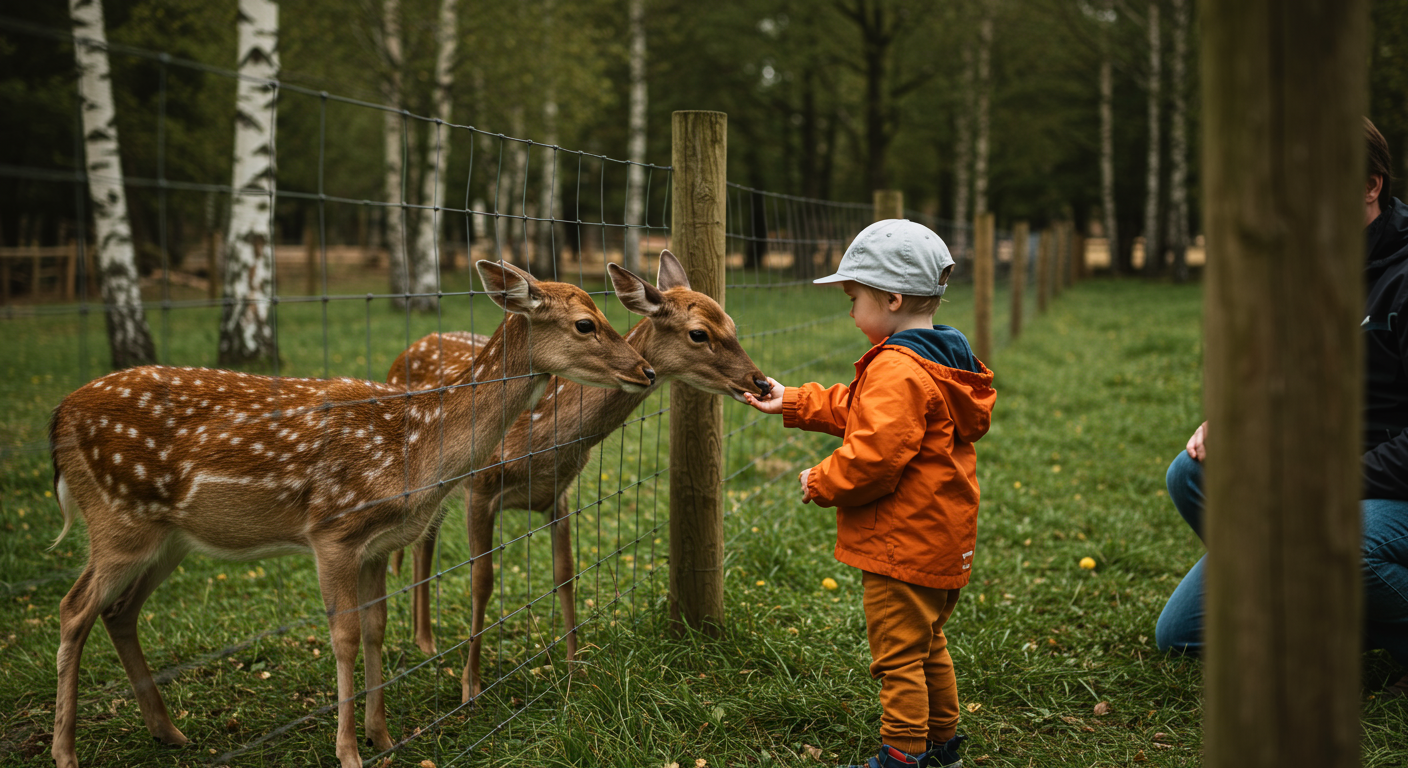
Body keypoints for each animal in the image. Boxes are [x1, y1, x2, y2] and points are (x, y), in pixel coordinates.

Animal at [46, 260, 655, 768]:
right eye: (585, 323)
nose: (646, 369)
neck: (414, 447)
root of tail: (58, 418)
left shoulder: (377, 545)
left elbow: (376, 629)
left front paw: (382, 736)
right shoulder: (332, 531)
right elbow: (342, 635)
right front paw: (348, 752)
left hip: (167, 538)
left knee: (118, 611)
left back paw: (169, 732)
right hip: (117, 520)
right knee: (73, 609)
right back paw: (66, 752)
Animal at [385, 250, 771, 703]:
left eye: (732, 325)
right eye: (699, 333)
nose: (761, 382)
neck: (545, 440)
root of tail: (412, 346)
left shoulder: (559, 495)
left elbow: (566, 574)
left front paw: (574, 669)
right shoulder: (480, 487)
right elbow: (482, 581)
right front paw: (470, 686)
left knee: (424, 541)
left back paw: (425, 638)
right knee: (419, 544)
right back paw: (425, 641)